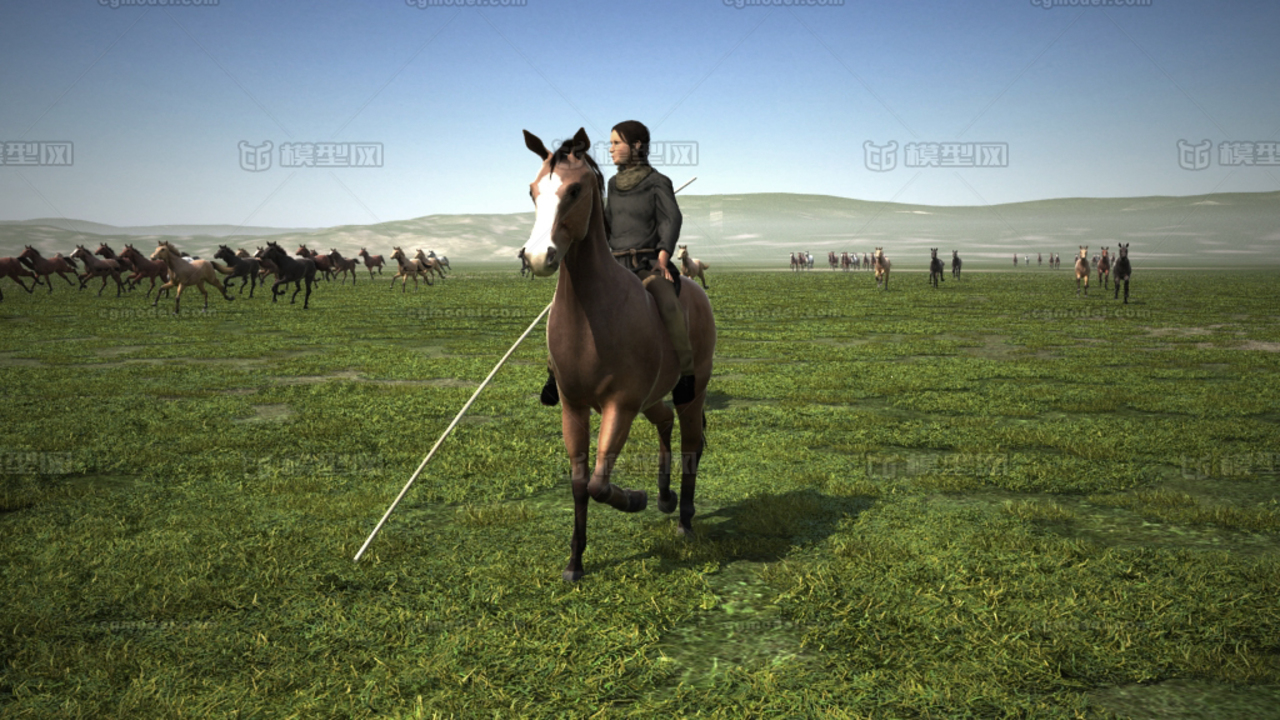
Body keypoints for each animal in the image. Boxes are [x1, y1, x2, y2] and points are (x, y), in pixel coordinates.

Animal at [522, 126, 721, 579]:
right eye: (533, 191)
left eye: (575, 190)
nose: (538, 257)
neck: (591, 316)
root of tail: (698, 293)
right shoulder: (574, 406)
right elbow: (580, 483)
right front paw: (575, 562)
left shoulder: (621, 405)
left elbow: (598, 483)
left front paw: (634, 499)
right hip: (650, 398)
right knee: (665, 421)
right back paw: (665, 497)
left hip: (693, 390)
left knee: (690, 442)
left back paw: (684, 518)